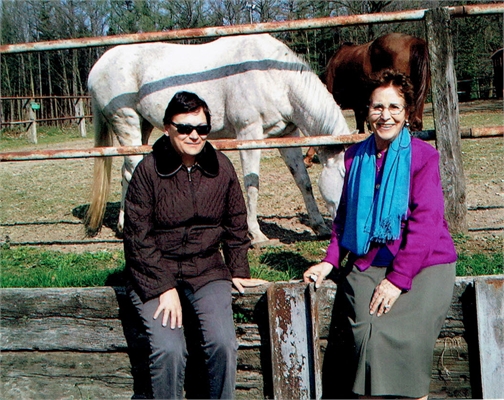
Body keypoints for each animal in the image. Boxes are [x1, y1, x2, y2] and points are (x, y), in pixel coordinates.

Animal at [86, 32, 348, 244]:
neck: (273, 76)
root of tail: (100, 64)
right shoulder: (249, 133)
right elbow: (251, 184)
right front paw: (256, 234)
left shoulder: (287, 135)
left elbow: (303, 181)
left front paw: (319, 226)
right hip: (126, 122)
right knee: (132, 170)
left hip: (143, 126)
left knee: (126, 172)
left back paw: (123, 227)